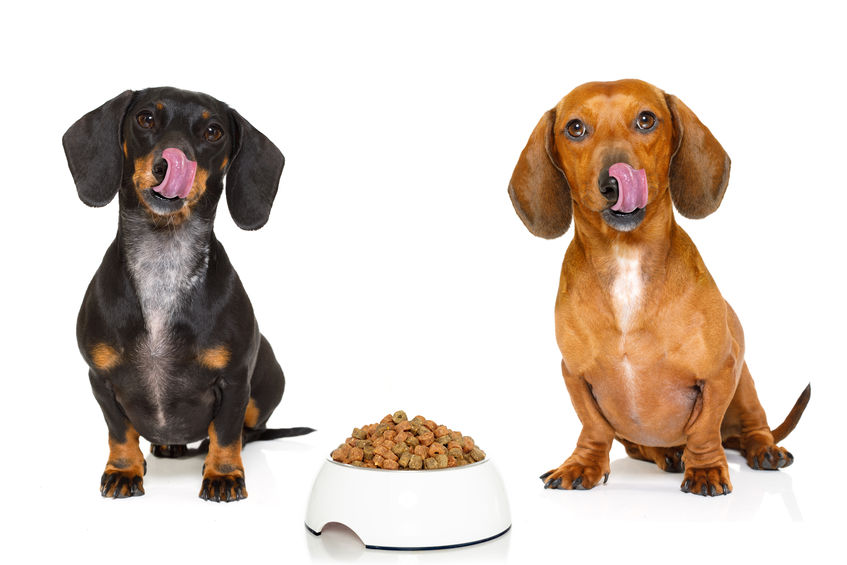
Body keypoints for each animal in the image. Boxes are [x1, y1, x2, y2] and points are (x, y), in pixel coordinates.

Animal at [63, 86, 314, 500]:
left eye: (214, 132)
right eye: (145, 118)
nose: (169, 165)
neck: (163, 265)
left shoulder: (234, 381)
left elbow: (226, 432)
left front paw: (223, 475)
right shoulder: (100, 378)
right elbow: (119, 431)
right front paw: (123, 469)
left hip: (268, 384)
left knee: (247, 431)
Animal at [506, 78, 812, 494]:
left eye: (646, 120)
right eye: (575, 128)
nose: (614, 182)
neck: (626, 257)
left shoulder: (719, 372)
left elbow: (703, 429)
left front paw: (705, 469)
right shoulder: (575, 374)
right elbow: (593, 427)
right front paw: (582, 465)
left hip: (744, 384)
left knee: (753, 425)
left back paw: (762, 449)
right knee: (641, 446)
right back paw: (667, 453)